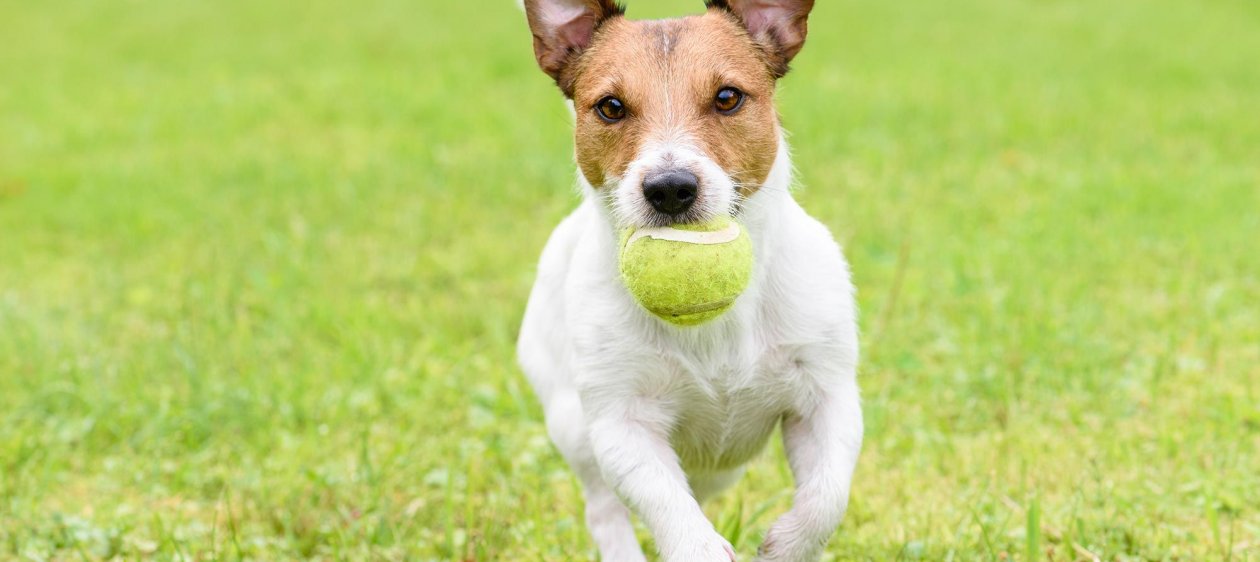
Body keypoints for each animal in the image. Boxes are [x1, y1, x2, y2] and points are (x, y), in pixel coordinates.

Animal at [516, 2, 861, 559]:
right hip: (573, 426)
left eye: (727, 97)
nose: (670, 188)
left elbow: (827, 496)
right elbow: (673, 514)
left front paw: (788, 544)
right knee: (606, 510)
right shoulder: (622, 424)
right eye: (610, 107)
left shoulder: (826, 398)